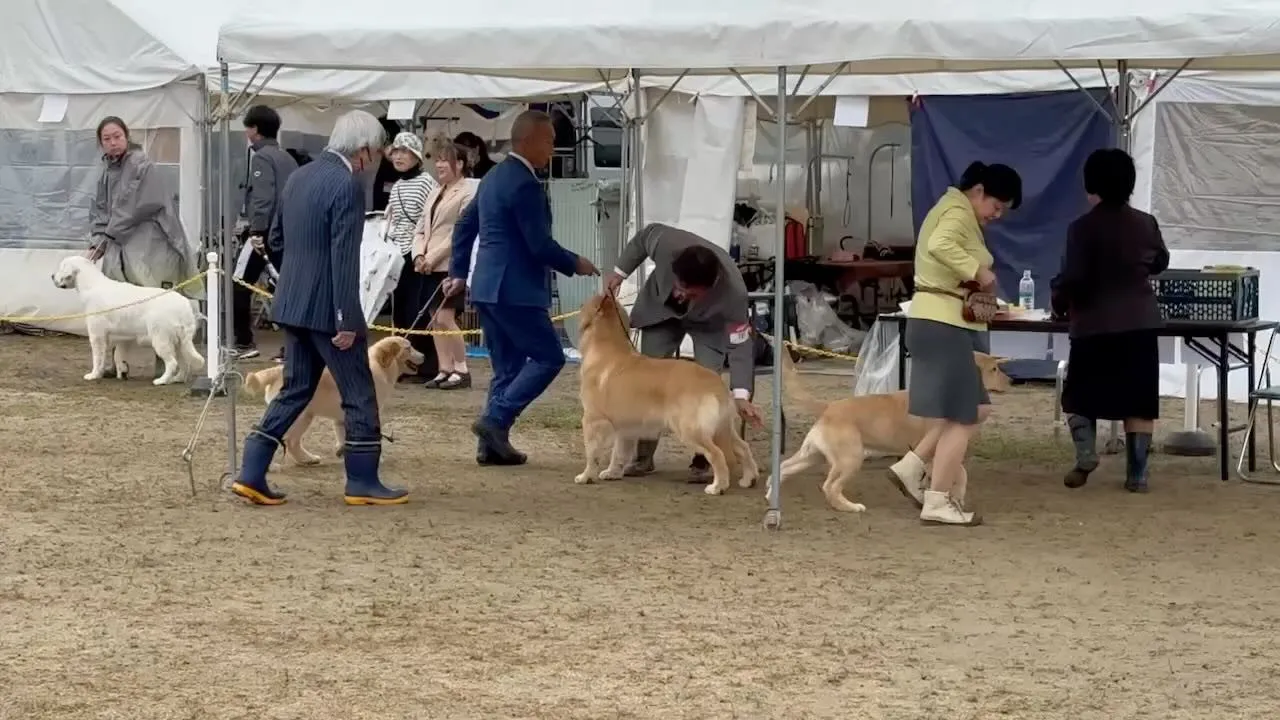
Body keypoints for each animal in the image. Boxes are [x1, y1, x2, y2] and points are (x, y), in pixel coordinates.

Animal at [52, 254, 202, 384]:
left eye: (61, 267)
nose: (52, 276)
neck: (91, 285)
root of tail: (184, 304)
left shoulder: (97, 335)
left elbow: (98, 358)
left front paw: (94, 375)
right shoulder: (123, 338)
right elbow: (118, 356)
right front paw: (120, 372)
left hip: (161, 339)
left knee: (172, 363)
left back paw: (161, 381)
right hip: (180, 342)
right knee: (184, 363)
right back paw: (177, 379)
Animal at [238, 335, 422, 461]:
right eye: (408, 348)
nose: (425, 356)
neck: (380, 367)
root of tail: (277, 371)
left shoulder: (341, 418)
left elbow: (342, 436)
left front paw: (342, 452)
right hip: (302, 417)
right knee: (291, 441)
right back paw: (307, 459)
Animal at [576, 292, 752, 491]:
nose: (579, 305)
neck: (606, 347)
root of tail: (715, 382)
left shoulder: (592, 419)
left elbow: (592, 454)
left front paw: (585, 476)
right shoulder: (626, 425)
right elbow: (619, 452)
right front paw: (613, 472)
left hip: (691, 430)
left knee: (717, 454)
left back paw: (717, 487)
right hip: (722, 428)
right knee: (743, 447)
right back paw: (748, 479)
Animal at [762, 348, 1013, 509]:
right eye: (993, 369)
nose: (1011, 381)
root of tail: (829, 406)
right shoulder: (936, 448)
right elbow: (960, 473)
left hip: (812, 456)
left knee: (783, 467)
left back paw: (770, 492)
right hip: (850, 459)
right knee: (829, 487)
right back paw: (850, 507)